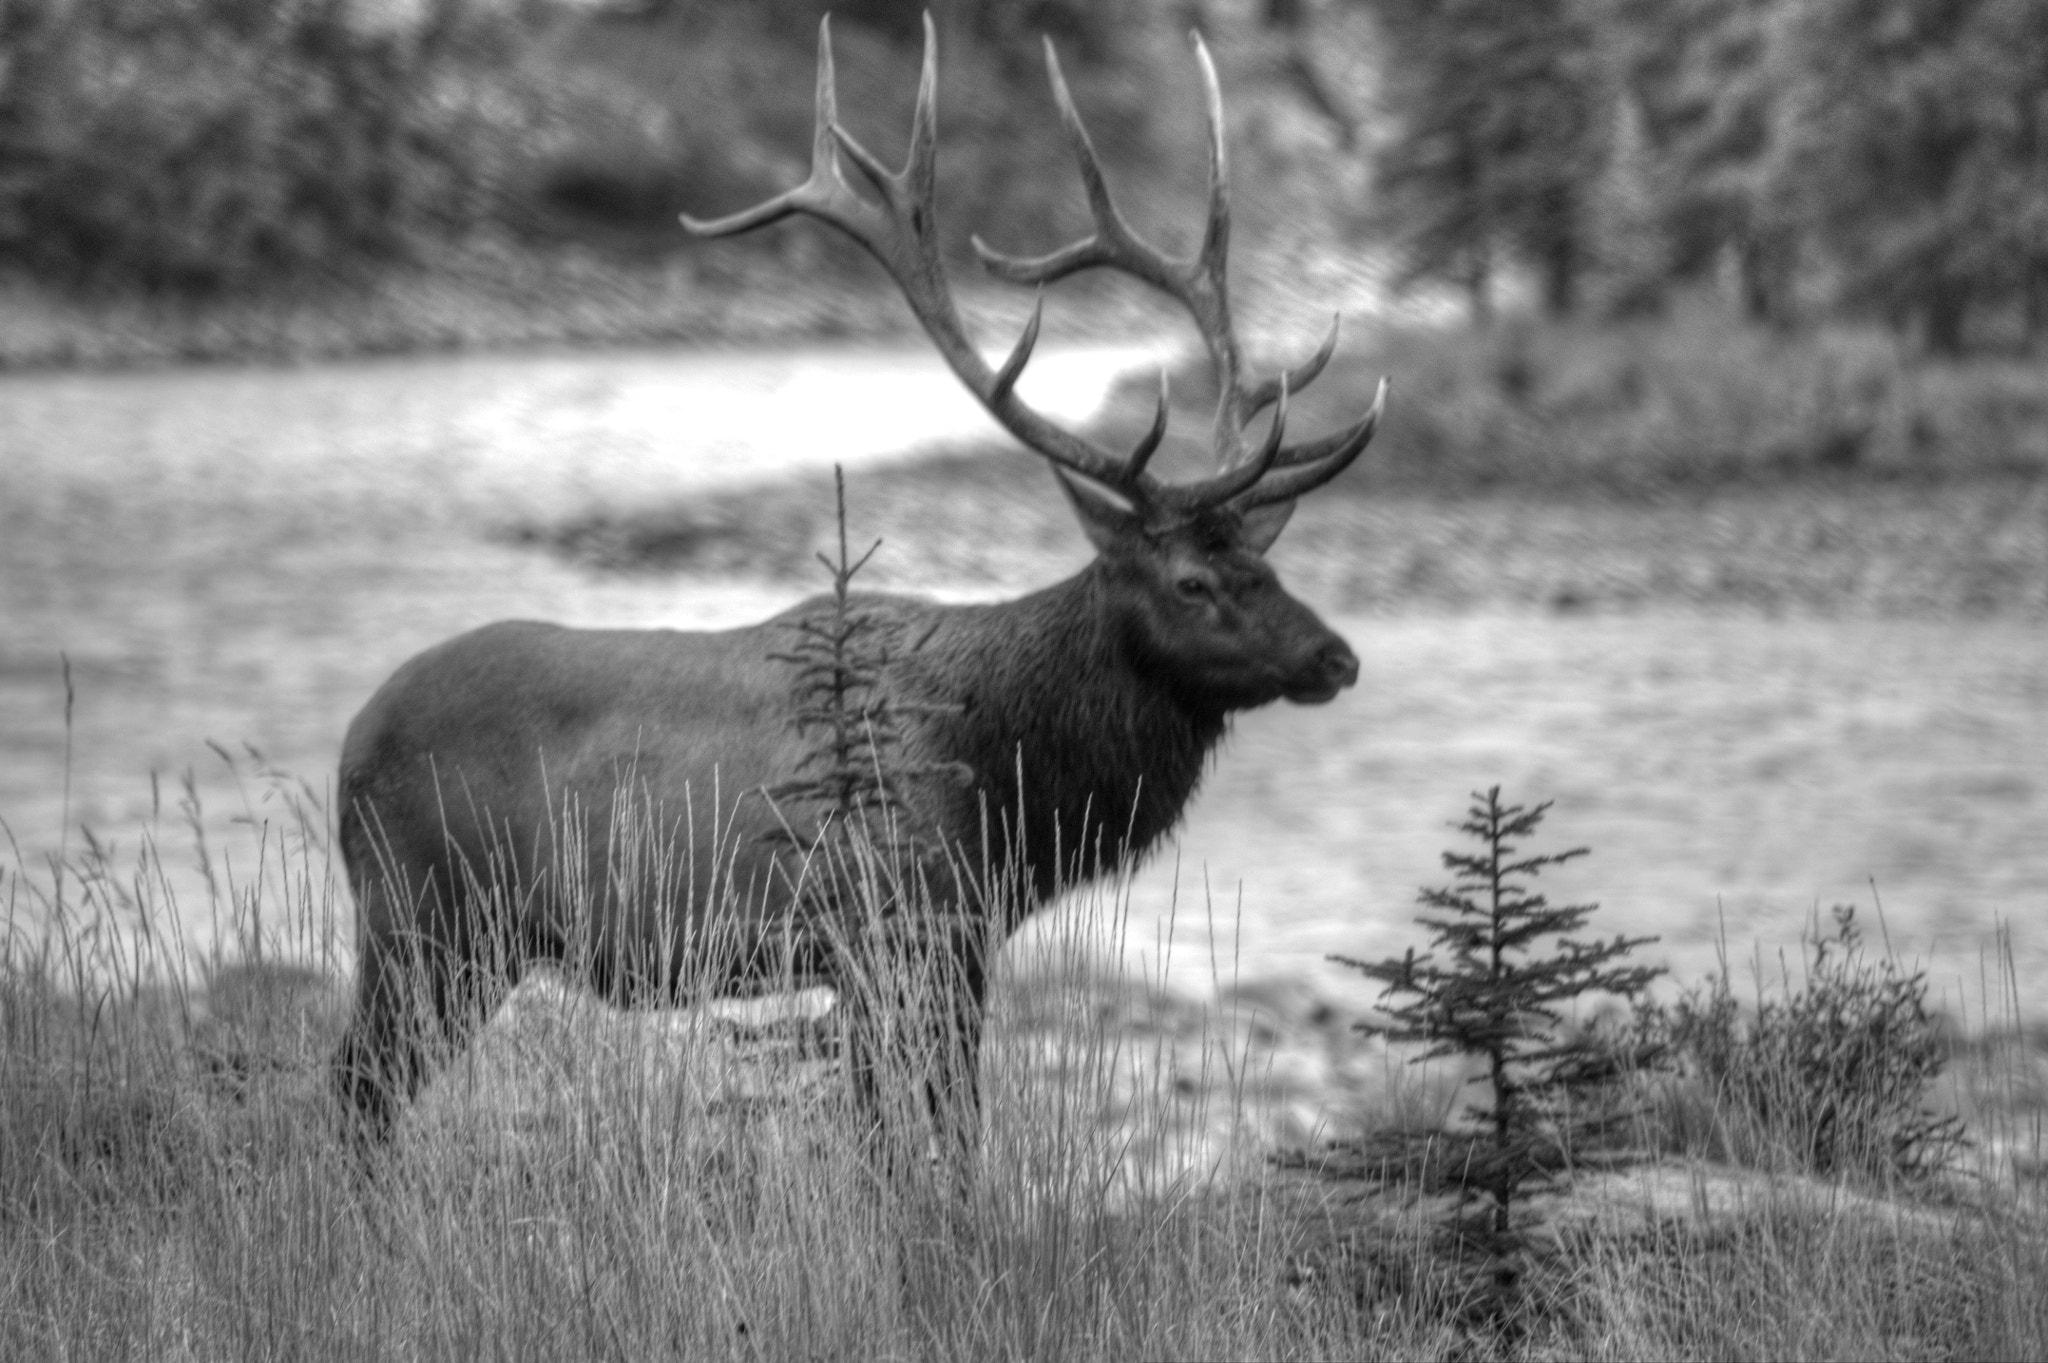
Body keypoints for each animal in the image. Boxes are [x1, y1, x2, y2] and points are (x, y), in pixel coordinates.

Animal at [335, 18, 1384, 1146]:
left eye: (1265, 562)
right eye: (1192, 581)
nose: (1335, 655)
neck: (1010, 786)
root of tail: (347, 748)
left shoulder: (949, 941)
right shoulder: (894, 926)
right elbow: (923, 1136)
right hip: (424, 919)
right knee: (356, 1088)